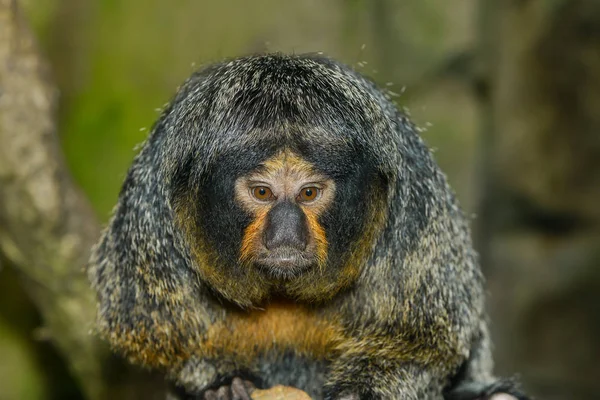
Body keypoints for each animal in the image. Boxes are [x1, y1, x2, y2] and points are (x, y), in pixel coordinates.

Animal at [86, 54, 528, 400]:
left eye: (309, 193)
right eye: (263, 193)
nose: (286, 234)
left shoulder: (415, 206)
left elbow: (429, 340)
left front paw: (360, 392)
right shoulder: (149, 214)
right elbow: (149, 324)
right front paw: (222, 382)